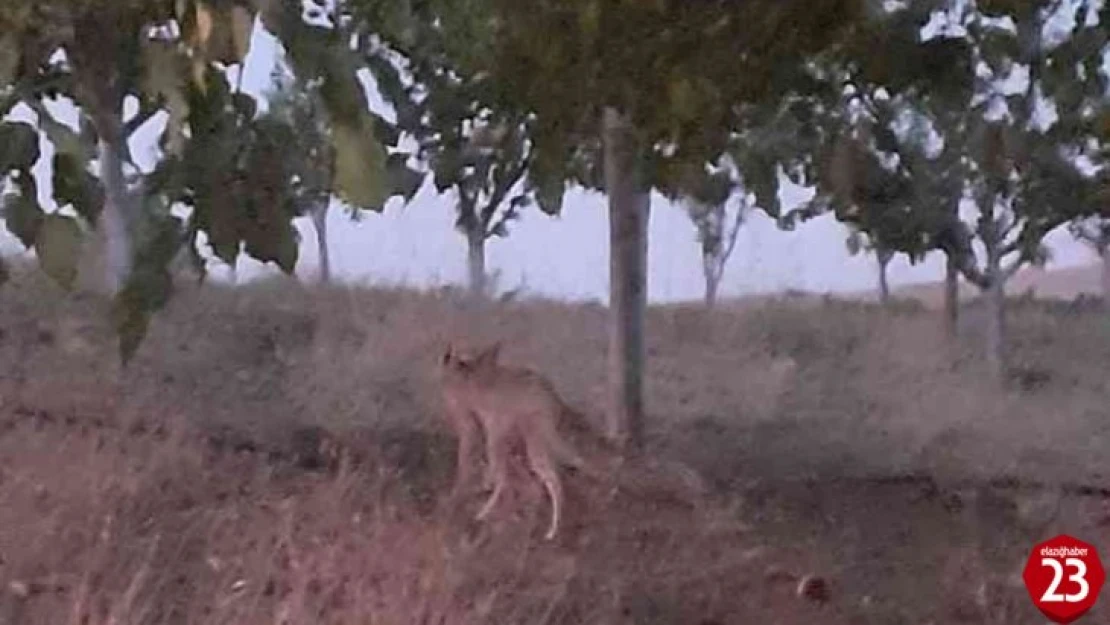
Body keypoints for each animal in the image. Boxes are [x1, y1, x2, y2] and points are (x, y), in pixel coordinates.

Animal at [435, 339, 608, 539]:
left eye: (450, 356)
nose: (446, 355)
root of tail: (554, 402)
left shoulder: (474, 424)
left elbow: (467, 461)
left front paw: (461, 491)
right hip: (527, 436)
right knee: (549, 471)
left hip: (524, 436)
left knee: (544, 479)